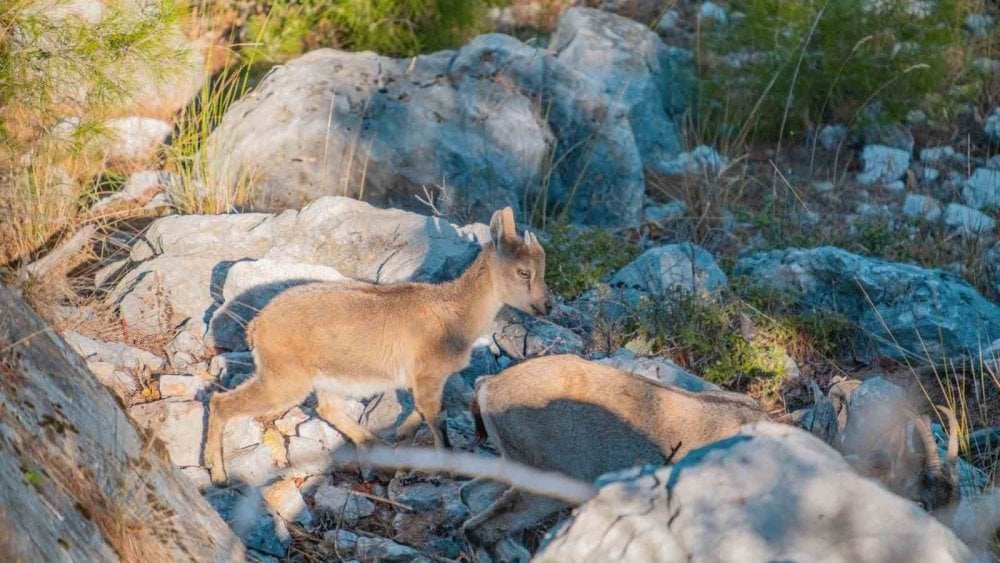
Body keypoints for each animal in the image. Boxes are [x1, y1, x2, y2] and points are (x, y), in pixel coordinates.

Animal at [203, 207, 548, 484]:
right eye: (523, 272)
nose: (547, 306)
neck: (455, 312)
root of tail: (258, 326)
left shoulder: (420, 382)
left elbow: (417, 418)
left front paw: (402, 451)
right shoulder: (429, 377)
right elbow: (437, 421)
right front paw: (451, 471)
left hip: (324, 378)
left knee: (327, 409)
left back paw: (372, 444)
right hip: (284, 380)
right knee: (221, 402)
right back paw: (218, 474)